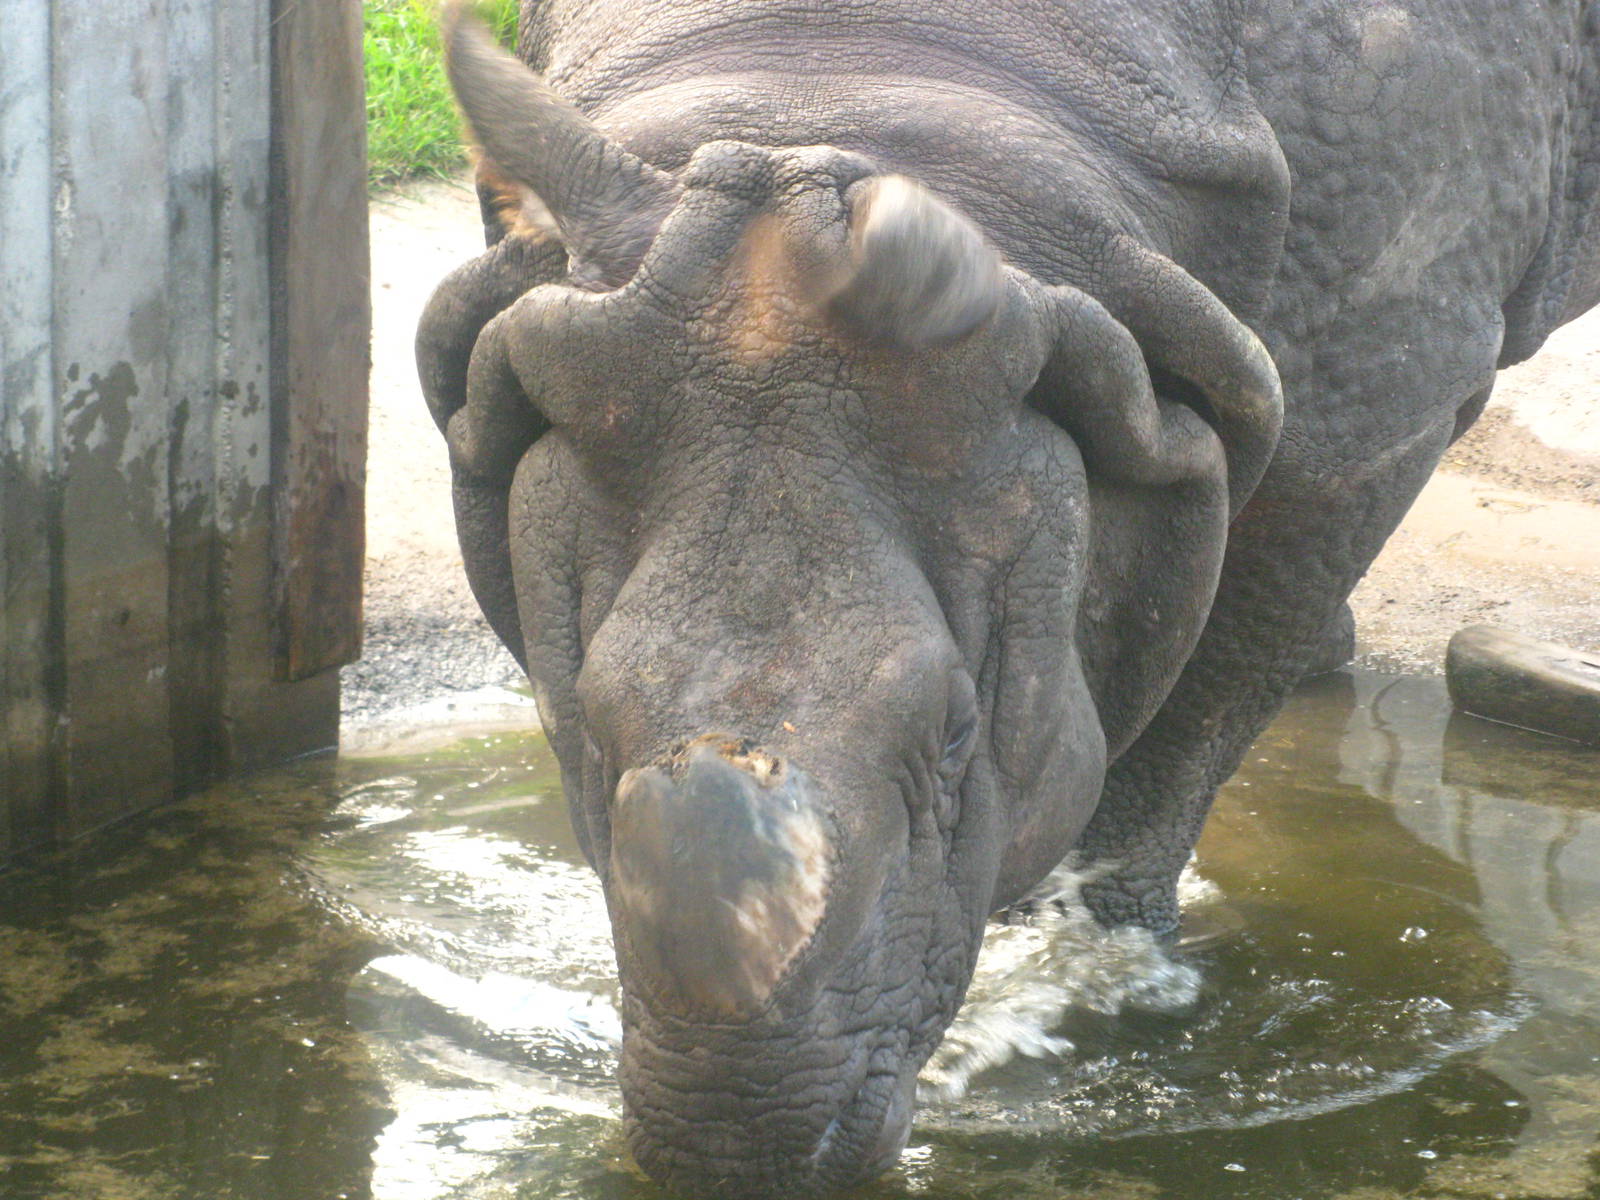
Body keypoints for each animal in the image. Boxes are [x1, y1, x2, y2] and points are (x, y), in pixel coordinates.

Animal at [415, 1, 1600, 1194]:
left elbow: (1210, 691)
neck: (846, 87)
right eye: (583, 728)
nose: (734, 1140)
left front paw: (1099, 973)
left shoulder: (1380, 408)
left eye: (958, 735)